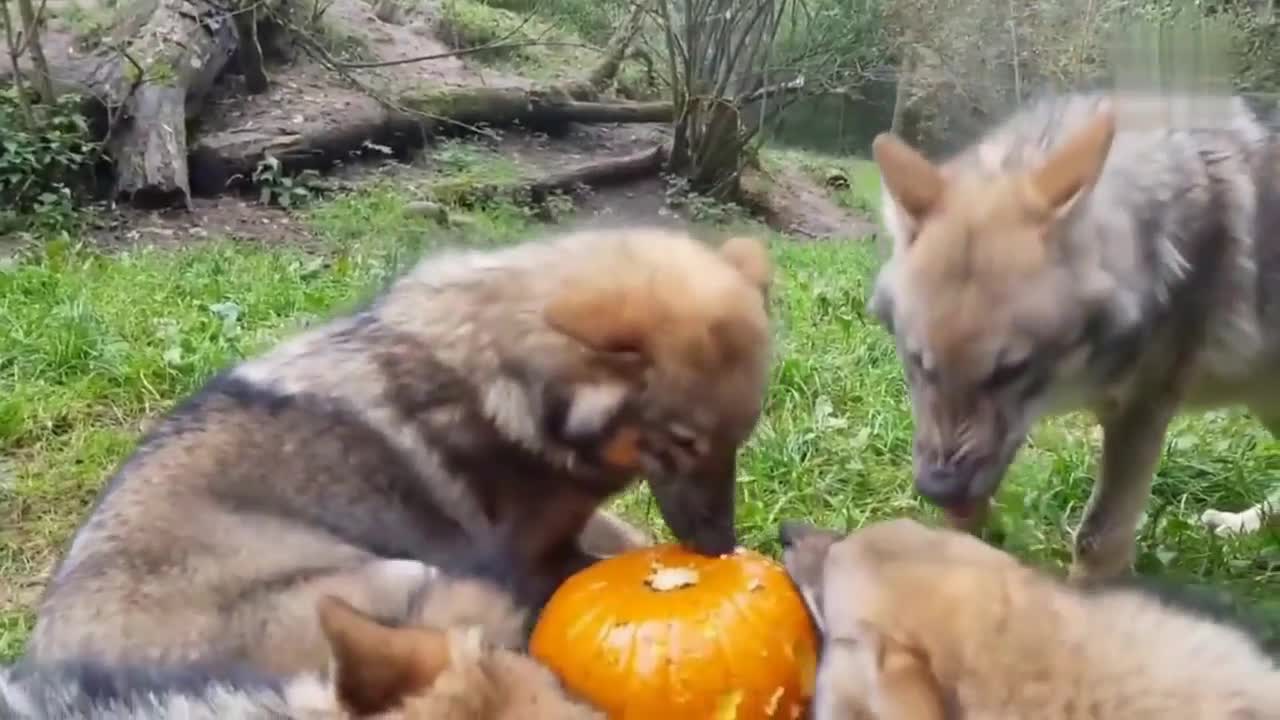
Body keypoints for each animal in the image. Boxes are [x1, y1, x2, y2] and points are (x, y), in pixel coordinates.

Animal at [24, 224, 773, 676]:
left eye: (740, 440)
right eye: (684, 444)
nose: (721, 548)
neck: (504, 381)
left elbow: (630, 535)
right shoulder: (535, 558)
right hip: (404, 579)